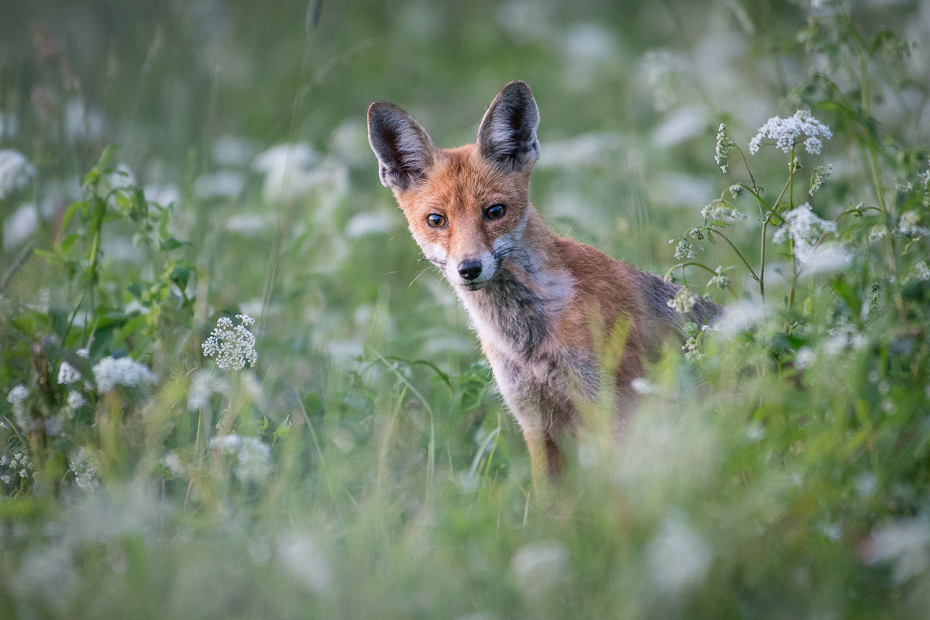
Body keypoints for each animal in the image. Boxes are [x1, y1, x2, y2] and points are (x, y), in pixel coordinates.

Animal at [366, 82, 720, 486]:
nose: (469, 268)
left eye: (495, 212)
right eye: (436, 220)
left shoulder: (612, 413)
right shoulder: (536, 424)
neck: (530, 341)